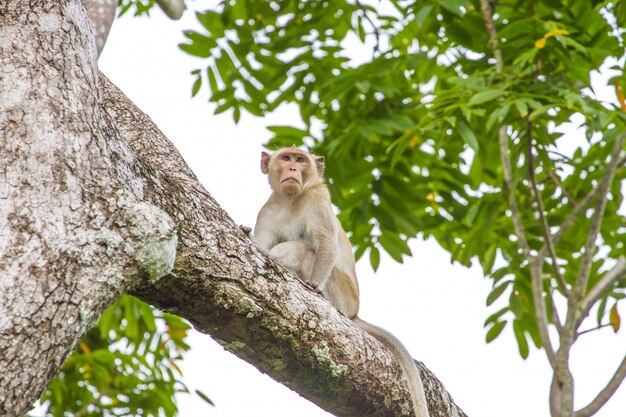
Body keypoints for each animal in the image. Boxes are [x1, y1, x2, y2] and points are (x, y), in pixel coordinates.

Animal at [254, 146, 428, 416]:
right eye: (286, 158)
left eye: (300, 159)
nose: (292, 168)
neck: (291, 200)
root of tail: (354, 312)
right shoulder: (268, 210)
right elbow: (260, 246)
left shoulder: (318, 197)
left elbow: (326, 241)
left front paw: (314, 287)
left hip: (342, 295)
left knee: (305, 250)